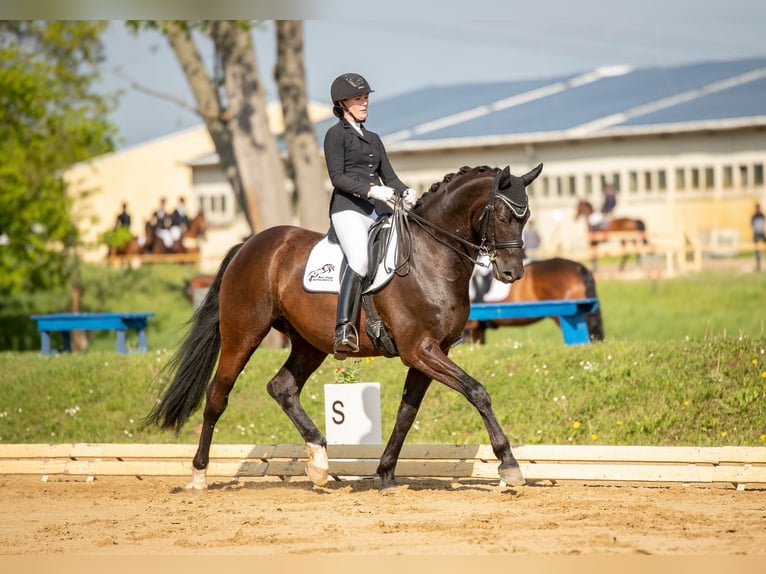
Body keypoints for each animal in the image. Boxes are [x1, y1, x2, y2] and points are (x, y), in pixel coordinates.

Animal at [144, 163, 542, 492]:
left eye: (525, 218)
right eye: (502, 214)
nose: (512, 273)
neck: (431, 257)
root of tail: (248, 245)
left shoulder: (430, 352)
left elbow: (406, 414)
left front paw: (385, 474)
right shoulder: (420, 349)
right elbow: (477, 392)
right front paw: (509, 466)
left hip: (309, 343)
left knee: (282, 387)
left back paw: (319, 463)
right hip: (242, 335)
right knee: (217, 395)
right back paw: (199, 475)